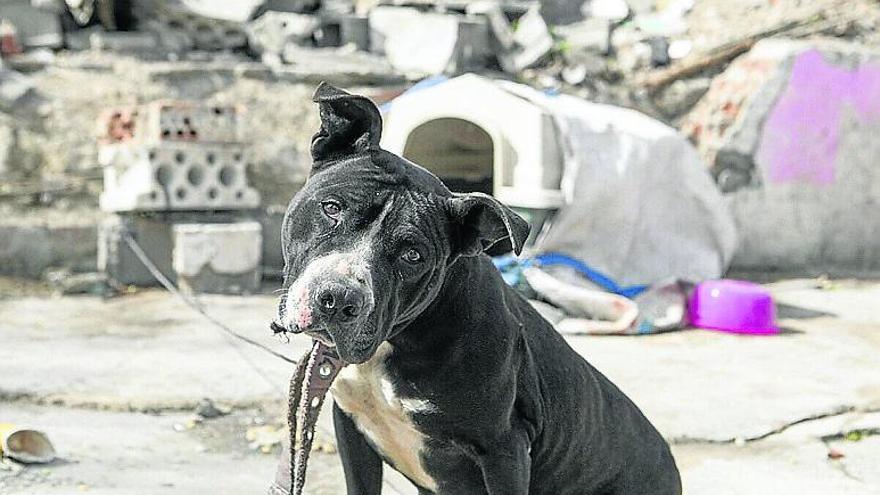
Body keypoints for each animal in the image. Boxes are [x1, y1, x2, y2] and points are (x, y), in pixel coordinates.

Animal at [272, 83, 684, 494]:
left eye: (412, 255)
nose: (338, 299)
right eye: (331, 208)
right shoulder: (351, 426)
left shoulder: (504, 449)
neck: (398, 340)